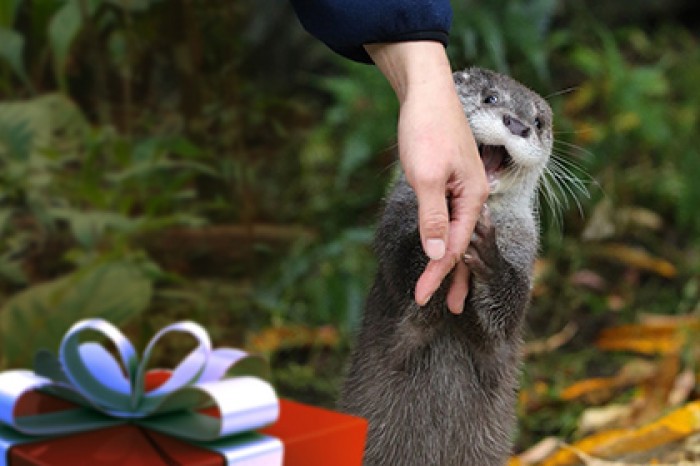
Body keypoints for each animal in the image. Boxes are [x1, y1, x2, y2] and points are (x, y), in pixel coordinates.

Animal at [336, 66, 556, 466]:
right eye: (490, 98)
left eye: (538, 122)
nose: (517, 125)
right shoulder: (394, 225)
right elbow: (408, 278)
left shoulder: (524, 253)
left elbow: (504, 314)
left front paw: (489, 259)